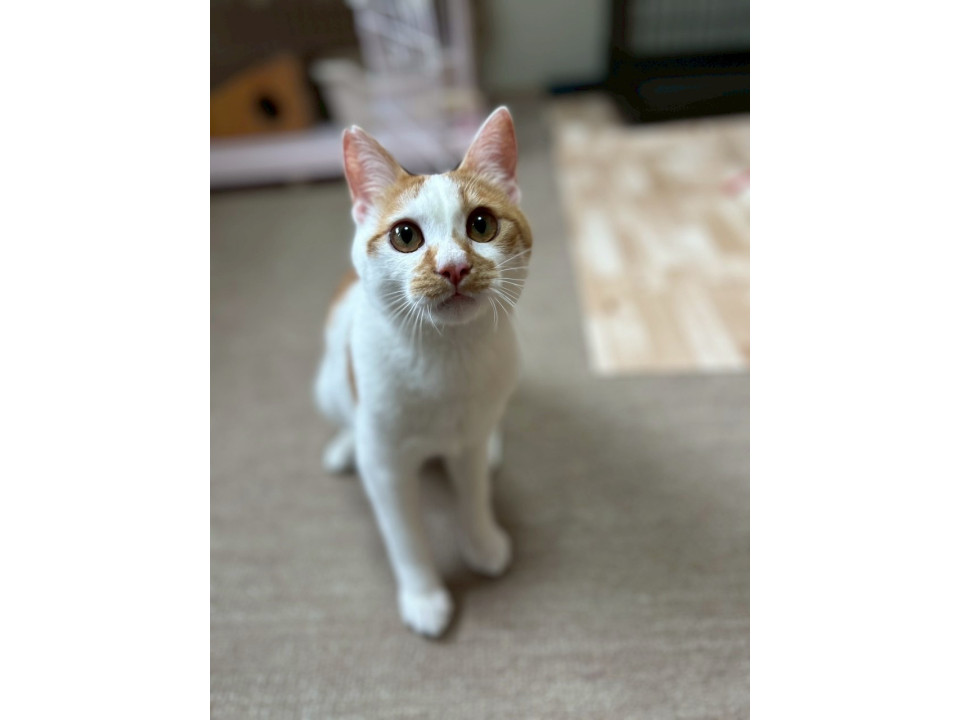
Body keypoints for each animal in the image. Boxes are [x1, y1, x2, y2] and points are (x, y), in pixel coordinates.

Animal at [314, 107, 532, 637]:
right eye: (405, 236)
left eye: (481, 225)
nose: (453, 267)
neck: (446, 360)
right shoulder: (387, 468)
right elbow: (405, 537)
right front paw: (424, 596)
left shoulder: (467, 441)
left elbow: (473, 493)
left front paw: (483, 542)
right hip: (329, 384)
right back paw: (344, 446)